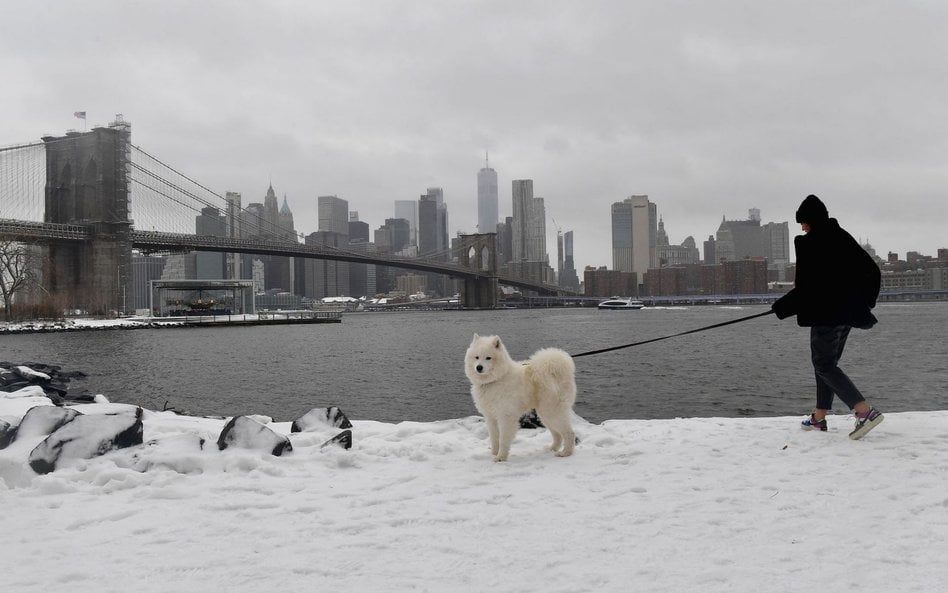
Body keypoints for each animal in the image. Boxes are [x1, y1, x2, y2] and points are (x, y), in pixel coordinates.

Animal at [462, 332, 572, 462]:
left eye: (488, 358)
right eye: (477, 357)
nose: (479, 367)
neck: (495, 380)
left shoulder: (506, 416)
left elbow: (503, 439)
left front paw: (500, 457)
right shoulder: (490, 417)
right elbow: (494, 438)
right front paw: (494, 453)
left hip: (553, 411)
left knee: (569, 432)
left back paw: (566, 453)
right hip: (545, 414)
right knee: (557, 434)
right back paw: (552, 448)